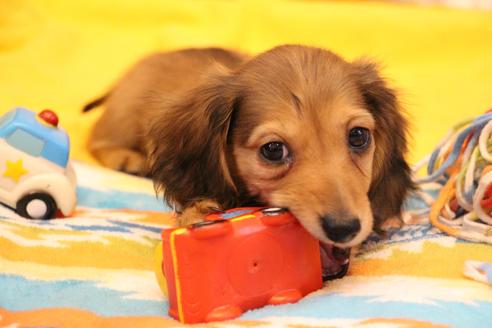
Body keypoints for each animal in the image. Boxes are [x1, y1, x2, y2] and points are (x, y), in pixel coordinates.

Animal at [85, 45, 416, 249]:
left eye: (358, 136)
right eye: (273, 150)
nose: (344, 229)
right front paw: (199, 212)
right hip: (124, 115)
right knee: (96, 138)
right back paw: (126, 158)